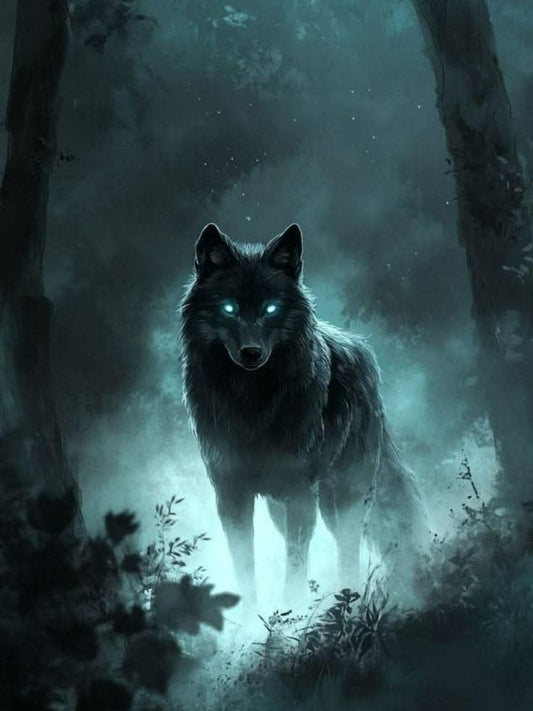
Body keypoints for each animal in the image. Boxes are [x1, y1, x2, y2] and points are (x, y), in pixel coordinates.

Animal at [180, 223, 427, 605]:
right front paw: (249, 614)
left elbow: (295, 565)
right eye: (229, 308)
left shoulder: (299, 491)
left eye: (270, 308)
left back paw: (348, 598)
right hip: (284, 506)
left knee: (348, 547)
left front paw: (290, 612)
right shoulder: (231, 493)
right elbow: (245, 566)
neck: (251, 403)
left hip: (344, 495)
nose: (251, 353)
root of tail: (365, 352)